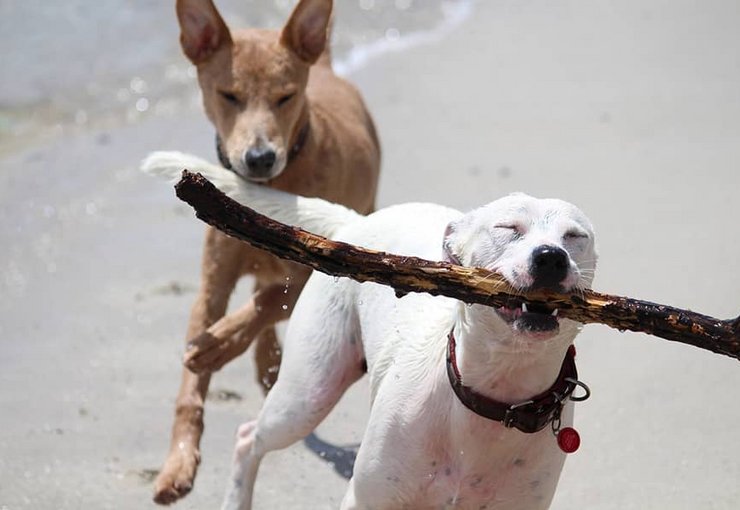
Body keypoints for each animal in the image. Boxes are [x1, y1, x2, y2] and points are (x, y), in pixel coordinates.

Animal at [142, 152, 600, 510]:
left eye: (575, 236)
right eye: (507, 228)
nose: (551, 257)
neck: (498, 394)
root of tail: (357, 223)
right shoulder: (366, 498)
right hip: (306, 393)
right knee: (248, 438)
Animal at [152, 0, 378, 502]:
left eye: (285, 97)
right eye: (228, 95)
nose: (259, 158)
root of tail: (326, 66)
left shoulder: (323, 265)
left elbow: (265, 302)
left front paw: (216, 347)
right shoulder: (212, 282)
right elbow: (189, 388)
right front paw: (177, 465)